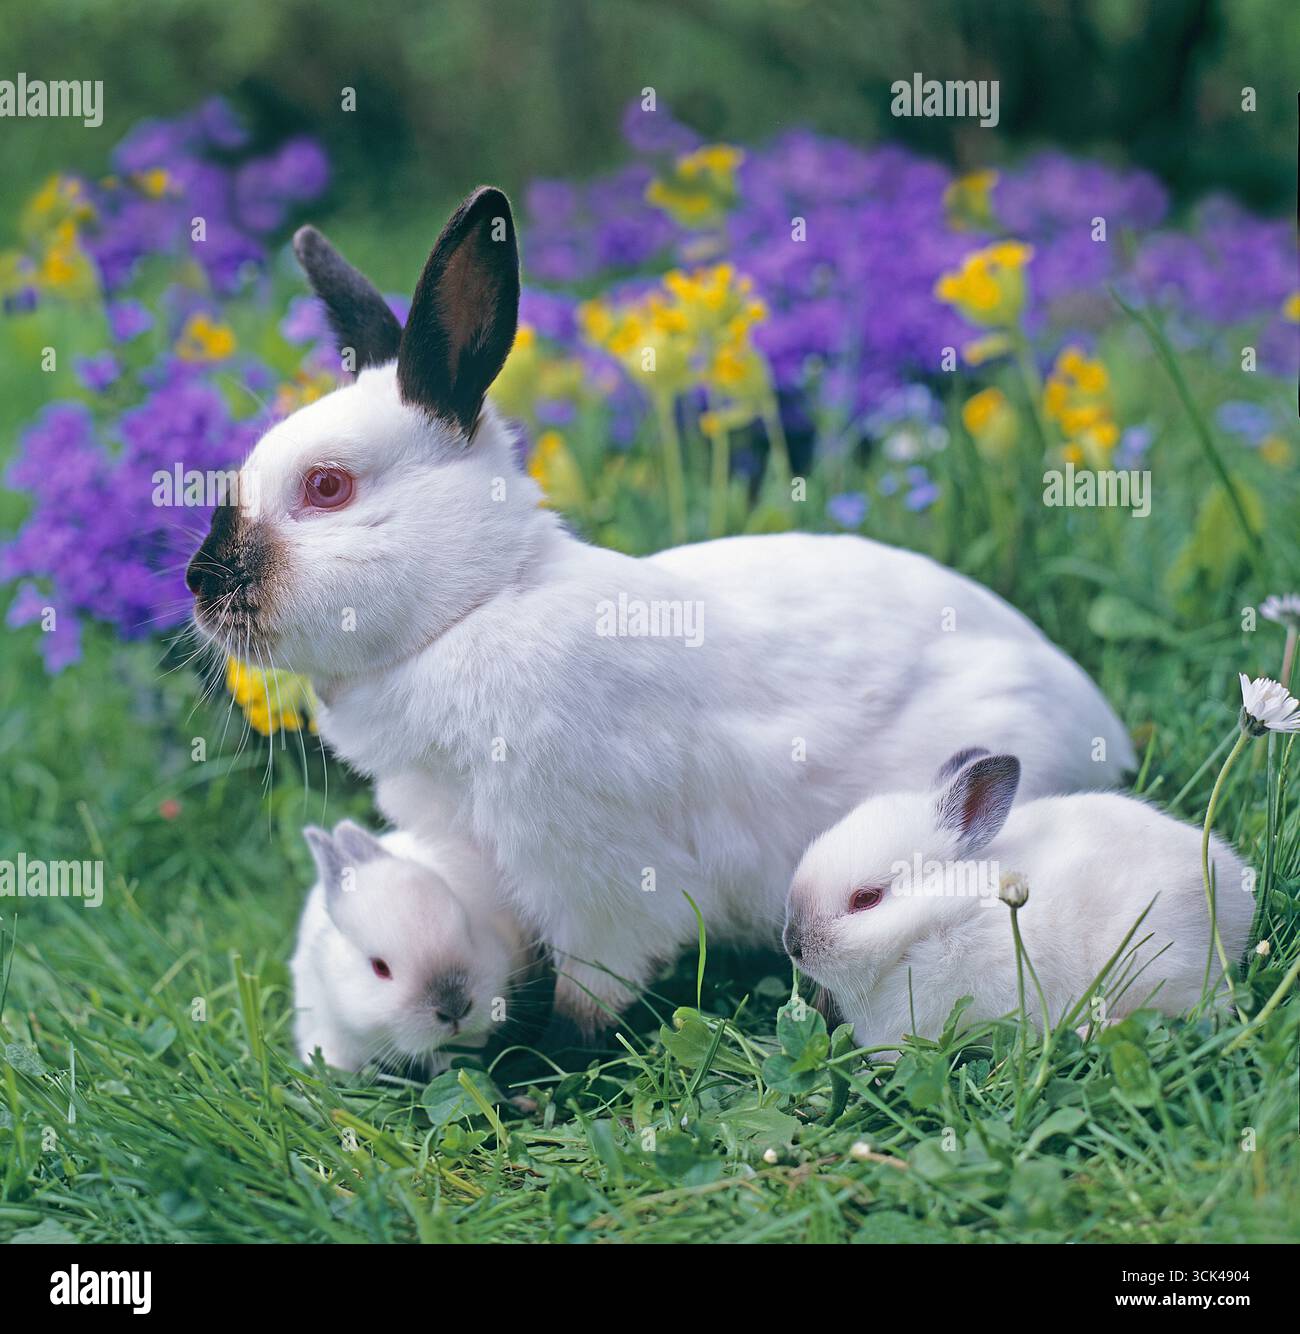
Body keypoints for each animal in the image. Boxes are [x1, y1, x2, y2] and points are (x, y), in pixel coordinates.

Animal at [188, 185, 1136, 1030]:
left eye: (327, 488)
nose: (199, 585)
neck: (476, 607)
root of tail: (1097, 718)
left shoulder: (593, 874)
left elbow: (592, 994)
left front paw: (536, 1068)